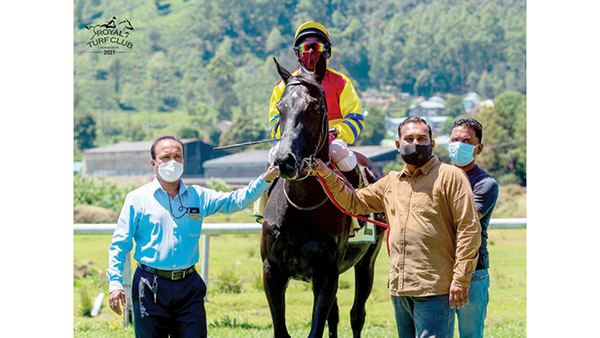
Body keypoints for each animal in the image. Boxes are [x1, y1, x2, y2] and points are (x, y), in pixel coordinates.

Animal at [262, 56, 384, 338]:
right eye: (281, 107)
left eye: (314, 106)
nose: (284, 160)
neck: (301, 209)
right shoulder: (272, 272)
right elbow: (282, 330)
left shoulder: (327, 275)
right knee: (336, 316)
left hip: (367, 262)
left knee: (357, 315)